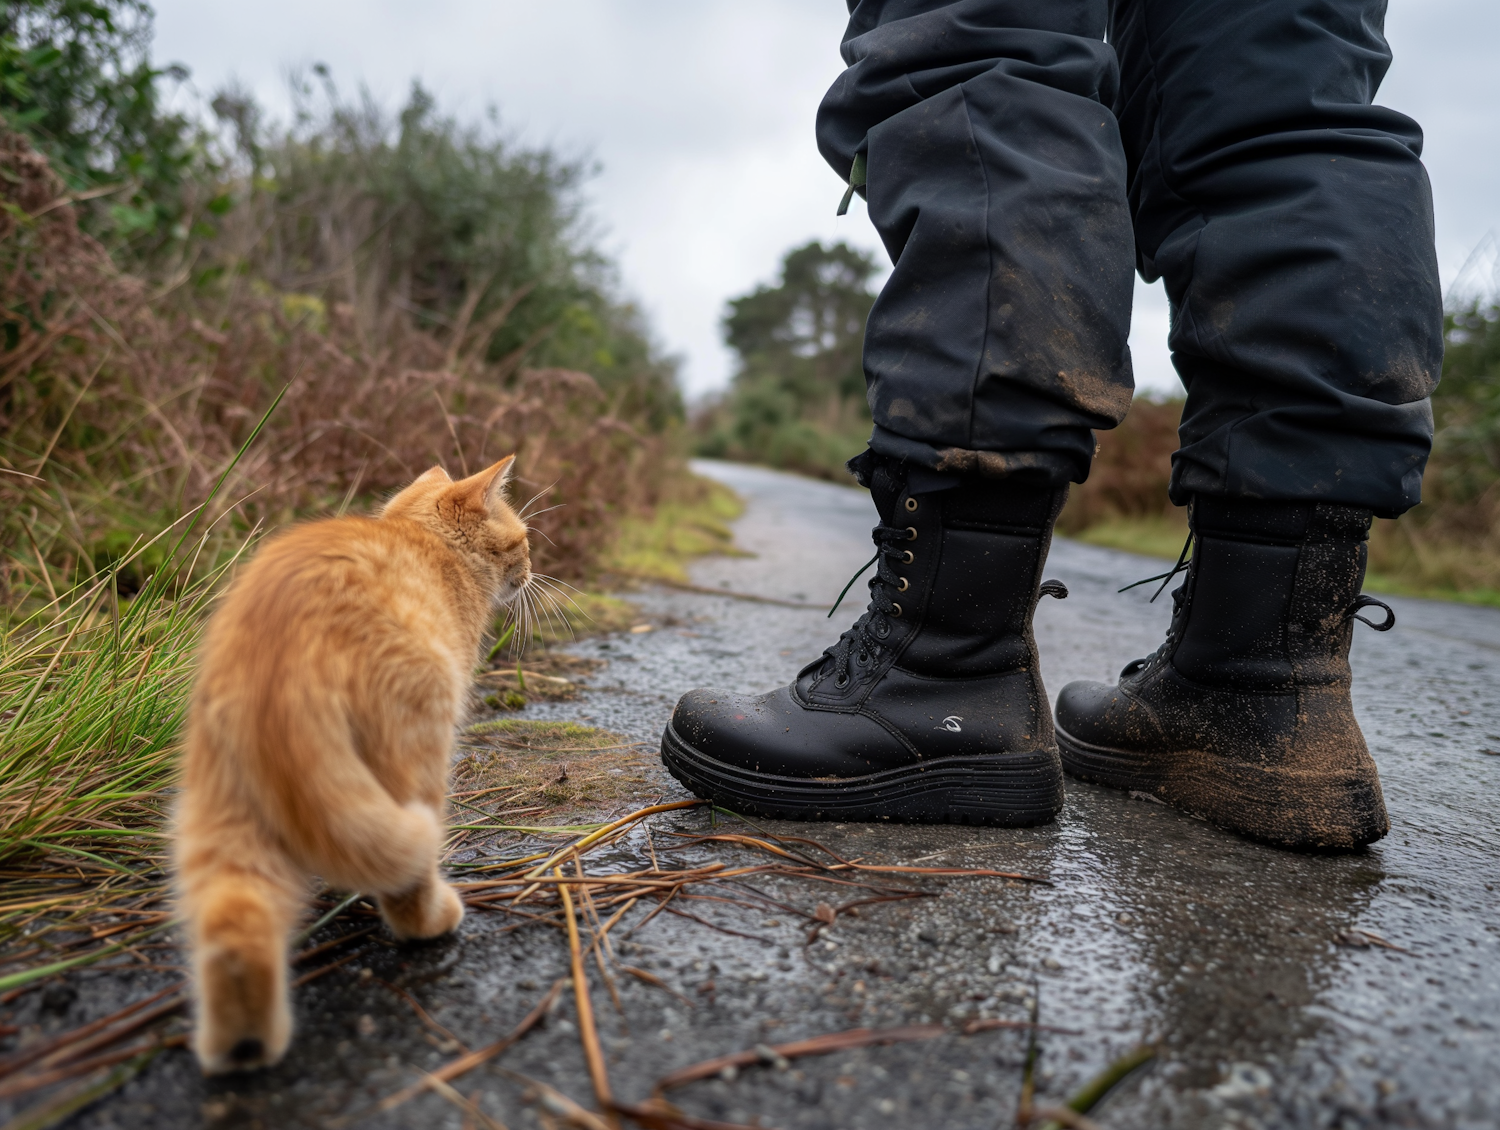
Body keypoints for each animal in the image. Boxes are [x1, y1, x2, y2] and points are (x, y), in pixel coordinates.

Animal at [173, 453, 528, 1068]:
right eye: (525, 540)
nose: (532, 568)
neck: (425, 542)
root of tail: (278, 668)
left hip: (226, 816)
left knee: (234, 927)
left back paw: (243, 1047)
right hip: (417, 752)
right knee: (407, 883)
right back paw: (435, 920)